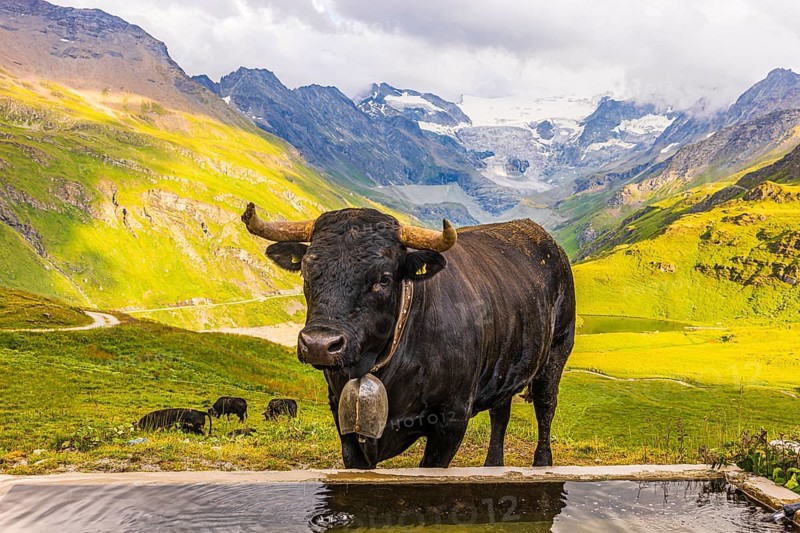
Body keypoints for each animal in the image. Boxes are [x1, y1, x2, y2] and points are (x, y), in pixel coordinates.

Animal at [241, 203, 575, 469]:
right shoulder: (342, 415)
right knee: (500, 413)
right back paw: (493, 465)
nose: (319, 345)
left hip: (556, 352)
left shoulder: (451, 420)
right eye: (308, 271)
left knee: (546, 406)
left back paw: (542, 463)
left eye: (383, 278)